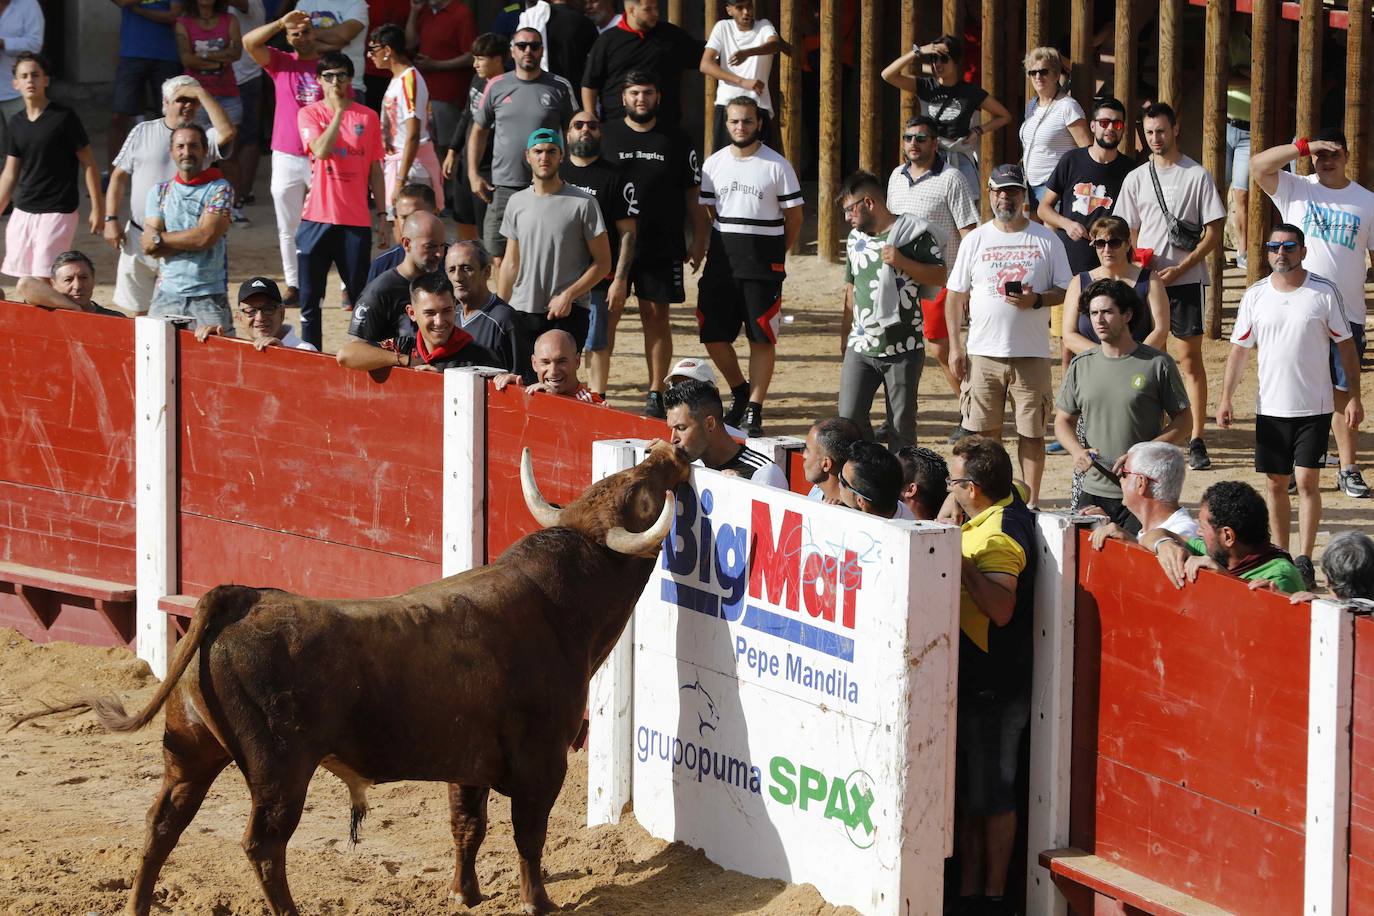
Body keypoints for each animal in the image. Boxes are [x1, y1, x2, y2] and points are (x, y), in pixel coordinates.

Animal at [84, 444, 687, 916]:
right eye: (642, 492)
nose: (670, 448)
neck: (559, 603)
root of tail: (241, 597)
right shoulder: (543, 760)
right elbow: (528, 833)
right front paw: (538, 902)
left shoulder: (467, 760)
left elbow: (467, 824)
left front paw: (465, 893)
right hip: (281, 770)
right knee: (263, 846)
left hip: (190, 750)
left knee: (162, 825)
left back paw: (137, 907)